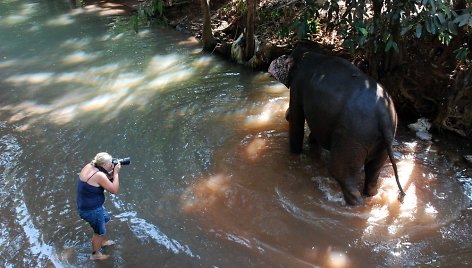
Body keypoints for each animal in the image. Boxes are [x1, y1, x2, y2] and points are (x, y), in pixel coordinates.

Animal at [270, 46, 406, 205]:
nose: (285, 114)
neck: (308, 54)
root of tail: (383, 114)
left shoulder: (298, 84)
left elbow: (297, 118)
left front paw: (294, 154)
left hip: (353, 136)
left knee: (341, 173)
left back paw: (354, 204)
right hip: (384, 141)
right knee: (373, 172)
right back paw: (369, 195)